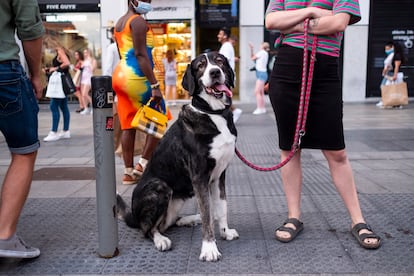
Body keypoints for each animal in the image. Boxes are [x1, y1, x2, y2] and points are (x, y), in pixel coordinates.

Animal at [116, 51, 239, 260]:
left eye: (220, 61)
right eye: (200, 66)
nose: (215, 72)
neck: (213, 113)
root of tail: (134, 215)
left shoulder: (219, 175)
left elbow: (221, 206)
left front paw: (225, 231)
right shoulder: (199, 177)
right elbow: (207, 214)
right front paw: (209, 248)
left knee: (168, 222)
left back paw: (189, 219)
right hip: (160, 186)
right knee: (148, 229)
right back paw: (161, 239)